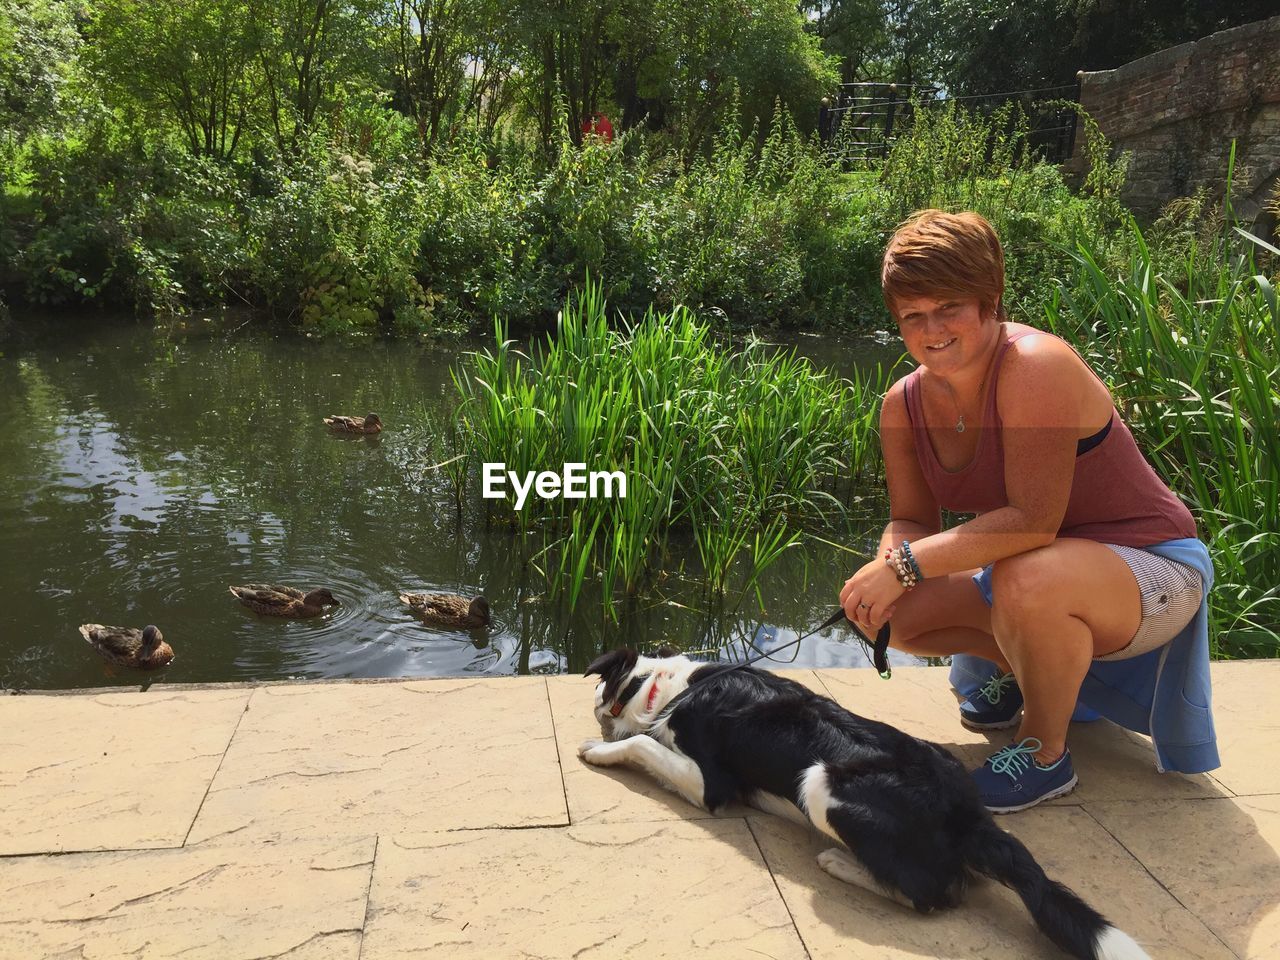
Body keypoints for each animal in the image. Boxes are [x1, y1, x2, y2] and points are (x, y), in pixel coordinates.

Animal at [581, 647, 1152, 960]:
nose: (598, 718)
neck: (661, 687)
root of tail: (968, 813)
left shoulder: (711, 784)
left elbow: (642, 744)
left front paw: (601, 750)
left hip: (818, 782)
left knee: (933, 894)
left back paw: (842, 863)